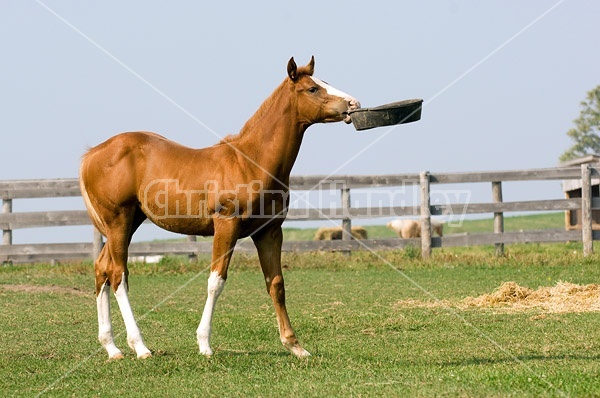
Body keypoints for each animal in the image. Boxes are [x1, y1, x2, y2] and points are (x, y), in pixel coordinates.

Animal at [79, 57, 360, 360]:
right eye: (312, 89)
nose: (353, 103)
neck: (250, 161)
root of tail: (93, 154)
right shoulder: (227, 225)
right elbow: (216, 281)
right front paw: (204, 344)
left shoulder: (269, 231)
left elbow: (276, 283)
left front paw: (295, 345)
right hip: (118, 221)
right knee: (118, 275)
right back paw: (140, 346)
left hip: (128, 223)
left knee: (102, 269)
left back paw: (111, 347)